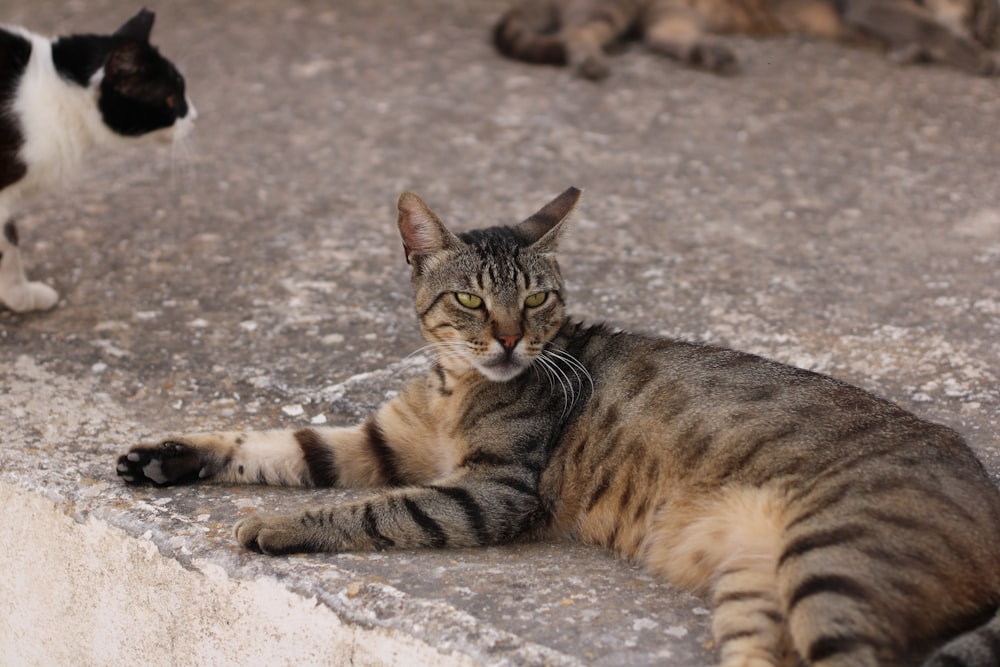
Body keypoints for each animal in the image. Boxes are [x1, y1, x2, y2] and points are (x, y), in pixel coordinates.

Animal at [0, 9, 195, 314]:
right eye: (172, 100)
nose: (195, 115)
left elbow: (9, 241)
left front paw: (18, 297)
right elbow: (8, 249)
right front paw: (21, 296)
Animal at [121, 189, 1000, 667]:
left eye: (538, 297)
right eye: (472, 300)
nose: (512, 338)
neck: (455, 385)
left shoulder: (492, 492)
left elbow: (366, 509)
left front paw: (275, 526)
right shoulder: (380, 441)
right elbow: (272, 443)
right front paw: (166, 455)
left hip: (832, 565)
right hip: (759, 590)